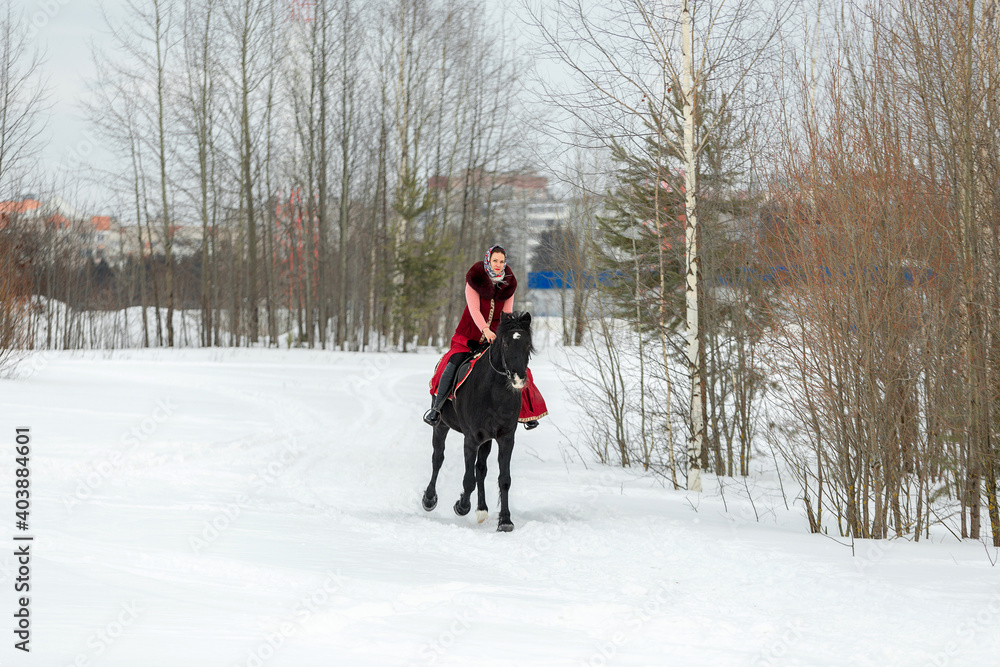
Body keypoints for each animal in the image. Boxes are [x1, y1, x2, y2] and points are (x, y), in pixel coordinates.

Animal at [420, 310, 536, 536]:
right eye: (506, 343)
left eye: (527, 344)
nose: (519, 379)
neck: (494, 391)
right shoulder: (471, 438)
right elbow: (468, 479)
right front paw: (461, 506)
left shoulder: (505, 437)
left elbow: (503, 478)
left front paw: (505, 521)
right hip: (441, 426)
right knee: (438, 458)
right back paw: (429, 499)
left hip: (487, 440)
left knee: (481, 469)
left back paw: (482, 509)